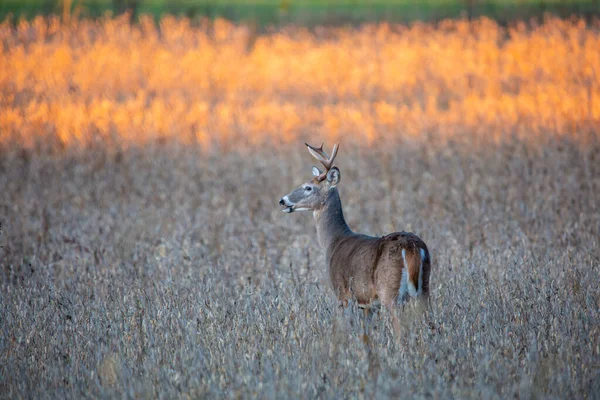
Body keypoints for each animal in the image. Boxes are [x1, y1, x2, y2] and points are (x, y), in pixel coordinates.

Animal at [278, 142, 428, 318]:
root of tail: (411, 247)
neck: (334, 241)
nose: (282, 200)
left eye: (308, 187)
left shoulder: (342, 294)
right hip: (424, 290)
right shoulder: (367, 305)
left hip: (389, 292)